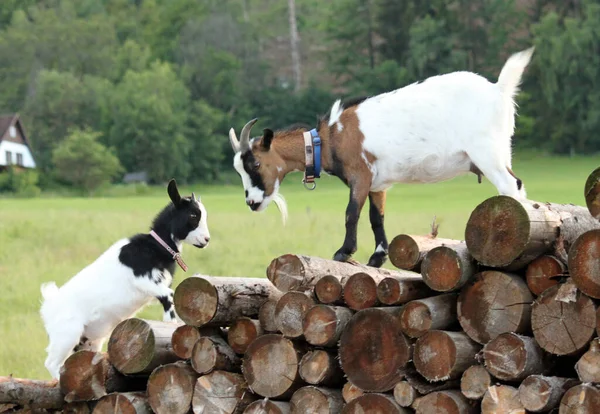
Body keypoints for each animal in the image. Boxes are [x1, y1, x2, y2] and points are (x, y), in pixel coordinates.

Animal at [229, 47, 536, 266]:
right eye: (240, 170)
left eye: (255, 163)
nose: (251, 202)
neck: (329, 139)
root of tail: (498, 89)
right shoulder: (378, 184)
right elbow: (377, 218)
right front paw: (377, 256)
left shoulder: (361, 174)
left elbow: (351, 213)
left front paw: (344, 252)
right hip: (502, 150)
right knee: (518, 186)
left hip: (486, 152)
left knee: (510, 186)